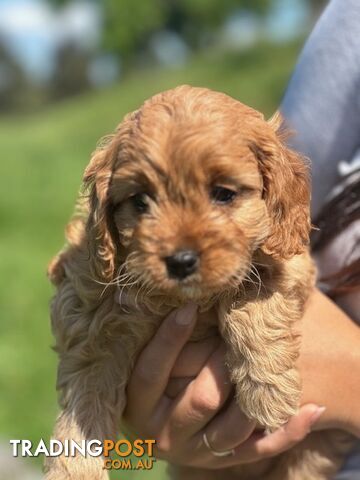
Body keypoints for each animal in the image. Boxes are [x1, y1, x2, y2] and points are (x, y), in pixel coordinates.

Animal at [45, 84, 354, 478]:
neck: (180, 300)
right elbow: (84, 407)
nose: (180, 261)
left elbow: (250, 295)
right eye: (140, 201)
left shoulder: (292, 261)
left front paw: (269, 392)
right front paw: (75, 469)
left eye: (223, 193)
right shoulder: (89, 325)